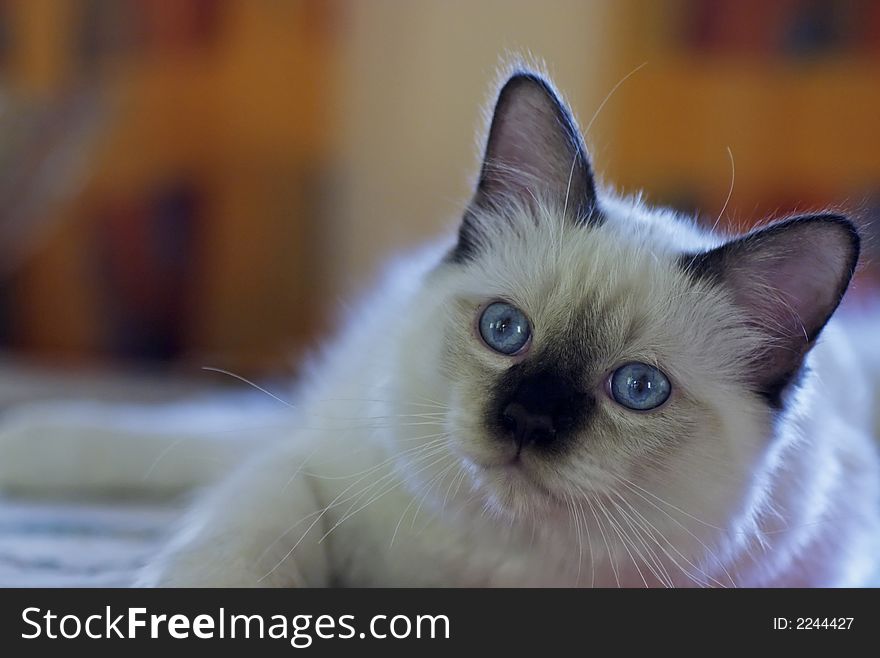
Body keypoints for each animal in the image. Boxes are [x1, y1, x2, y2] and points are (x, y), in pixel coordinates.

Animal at [1, 69, 880, 588]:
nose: (526, 419)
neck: (485, 571)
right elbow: (236, 546)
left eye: (638, 389)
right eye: (504, 330)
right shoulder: (309, 471)